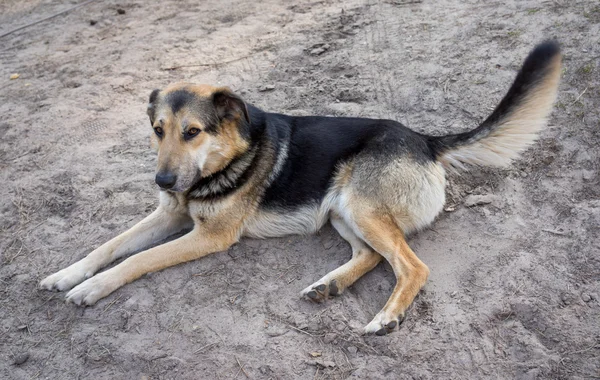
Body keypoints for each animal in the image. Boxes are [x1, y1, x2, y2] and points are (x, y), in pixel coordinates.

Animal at [41, 41, 564, 336]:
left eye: (192, 132)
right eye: (157, 130)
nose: (163, 181)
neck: (224, 158)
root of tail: (425, 139)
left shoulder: (209, 236)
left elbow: (136, 259)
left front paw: (92, 288)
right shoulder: (170, 213)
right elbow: (111, 244)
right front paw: (68, 274)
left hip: (359, 205)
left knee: (412, 267)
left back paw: (386, 318)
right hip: (340, 211)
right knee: (372, 256)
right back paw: (328, 286)